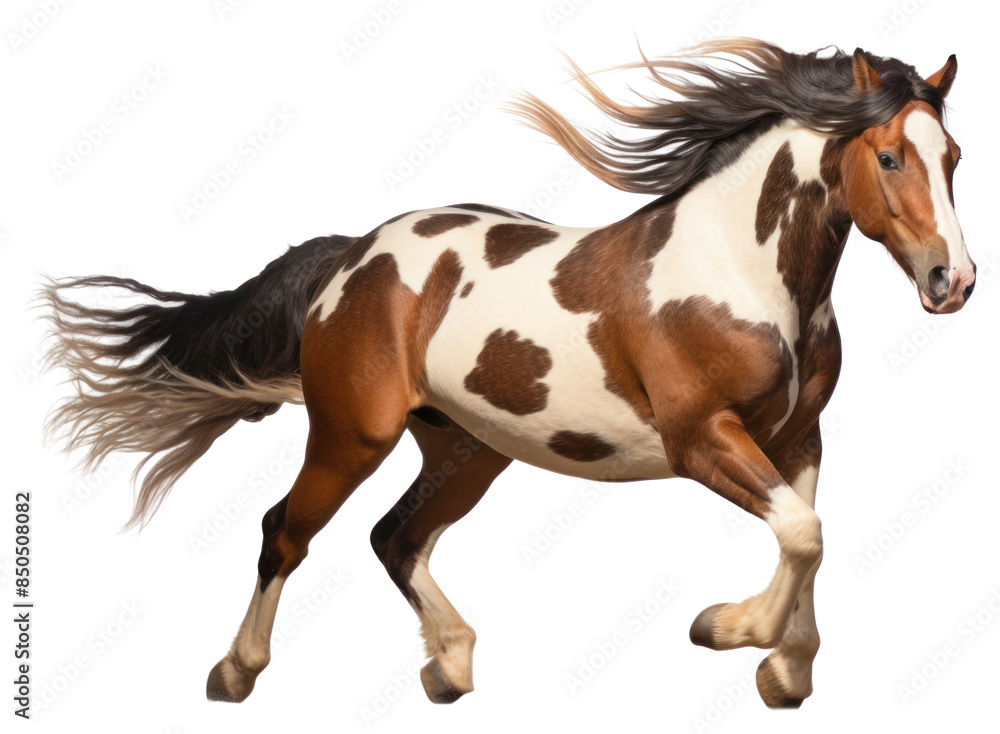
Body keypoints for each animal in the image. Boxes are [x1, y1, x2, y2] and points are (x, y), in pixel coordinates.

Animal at [42, 39, 974, 709]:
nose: (952, 281)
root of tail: (353, 258)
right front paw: (725, 630)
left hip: (469, 450)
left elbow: (806, 536)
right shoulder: (701, 438)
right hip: (352, 434)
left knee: (395, 537)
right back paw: (235, 672)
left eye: (955, 156)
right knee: (285, 530)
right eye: (890, 157)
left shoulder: (797, 438)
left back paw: (450, 666)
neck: (739, 274)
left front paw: (783, 672)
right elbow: (803, 534)